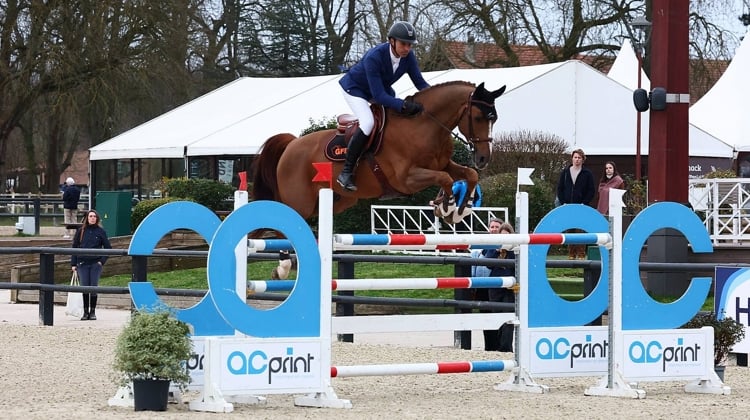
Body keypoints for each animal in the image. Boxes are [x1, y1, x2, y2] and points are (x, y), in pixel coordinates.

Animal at [253, 79, 506, 223]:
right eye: (478, 117)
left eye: (495, 118)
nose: (484, 158)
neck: (424, 126)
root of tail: (291, 145)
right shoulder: (406, 179)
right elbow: (444, 178)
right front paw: (447, 207)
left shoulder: (443, 164)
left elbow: (468, 175)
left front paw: (460, 210)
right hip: (300, 203)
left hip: (337, 201)